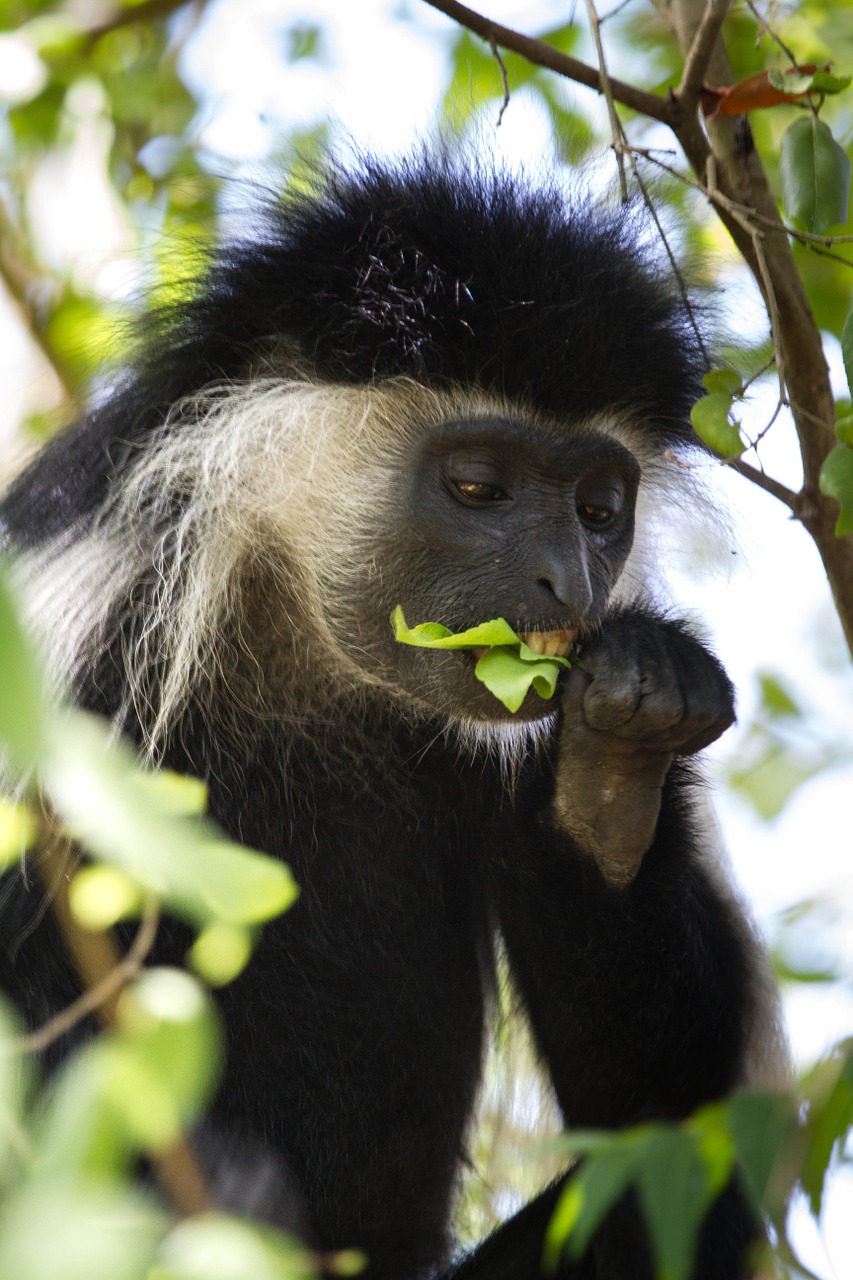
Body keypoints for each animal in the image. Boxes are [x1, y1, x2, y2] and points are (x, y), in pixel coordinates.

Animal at [0, 160, 783, 1280]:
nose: (568, 581)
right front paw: (214, 1178)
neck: (303, 635)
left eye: (599, 508)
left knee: (684, 1166)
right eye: (477, 486)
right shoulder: (83, 619)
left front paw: (619, 756)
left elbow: (666, 1100)